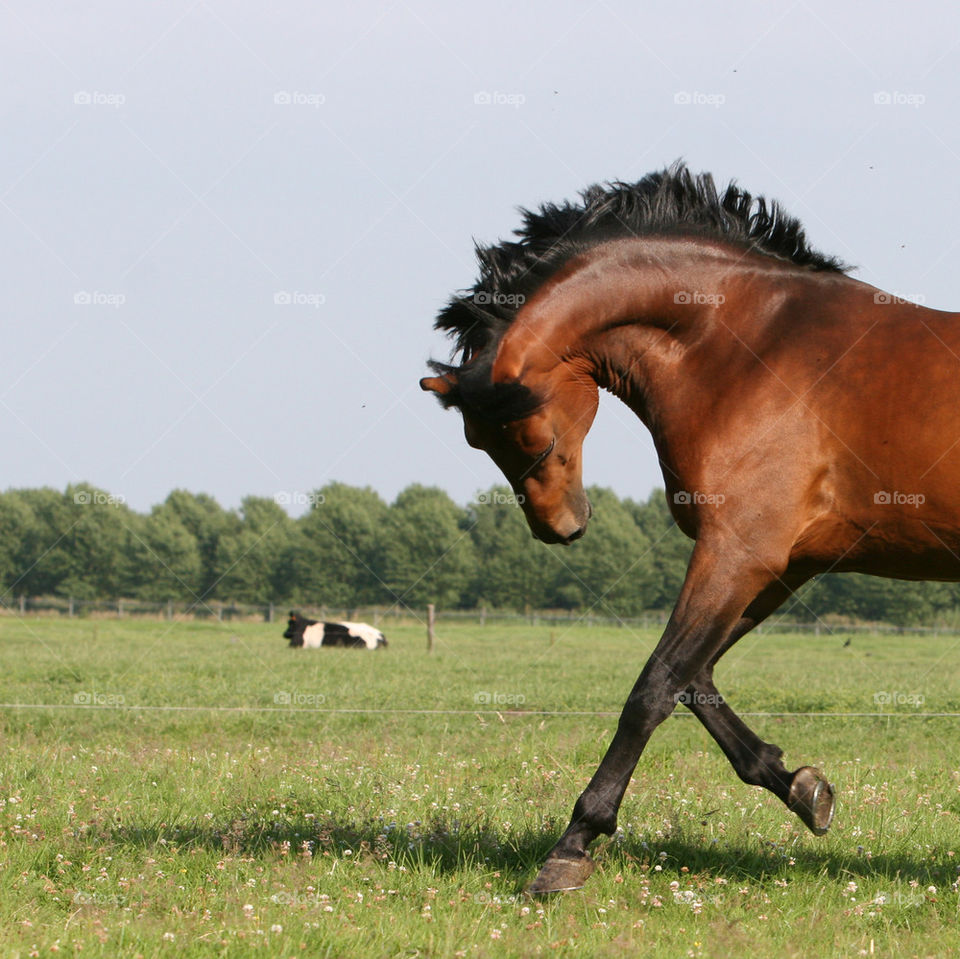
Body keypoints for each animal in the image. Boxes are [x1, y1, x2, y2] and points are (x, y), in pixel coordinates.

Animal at [422, 163, 960, 892]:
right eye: (477, 439)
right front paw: (800, 787)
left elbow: (654, 685)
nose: (558, 527)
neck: (748, 344)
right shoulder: (782, 563)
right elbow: (694, 677)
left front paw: (573, 844)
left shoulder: (738, 552)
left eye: (525, 430)